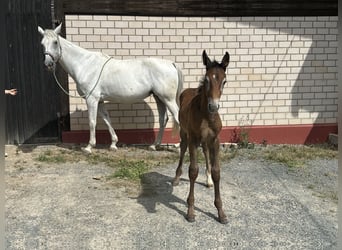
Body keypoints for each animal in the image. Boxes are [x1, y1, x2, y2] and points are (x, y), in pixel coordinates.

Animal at [38, 23, 183, 152]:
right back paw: (154, 145)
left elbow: (92, 122)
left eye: (55, 42)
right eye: (42, 43)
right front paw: (113, 144)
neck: (85, 64)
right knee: (163, 119)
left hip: (168, 99)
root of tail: (171, 63)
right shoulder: (100, 100)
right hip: (159, 98)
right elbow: (107, 120)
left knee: (177, 116)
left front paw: (89, 147)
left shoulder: (91, 99)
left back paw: (178, 146)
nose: (48, 64)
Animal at [172, 49, 231, 224]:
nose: (213, 106)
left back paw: (208, 180)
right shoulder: (193, 139)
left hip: (205, 141)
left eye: (224, 81)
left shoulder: (215, 140)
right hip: (184, 134)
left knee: (205, 152)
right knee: (182, 149)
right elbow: (193, 171)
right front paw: (190, 210)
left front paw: (221, 212)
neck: (206, 115)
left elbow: (217, 171)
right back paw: (176, 178)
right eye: (206, 79)